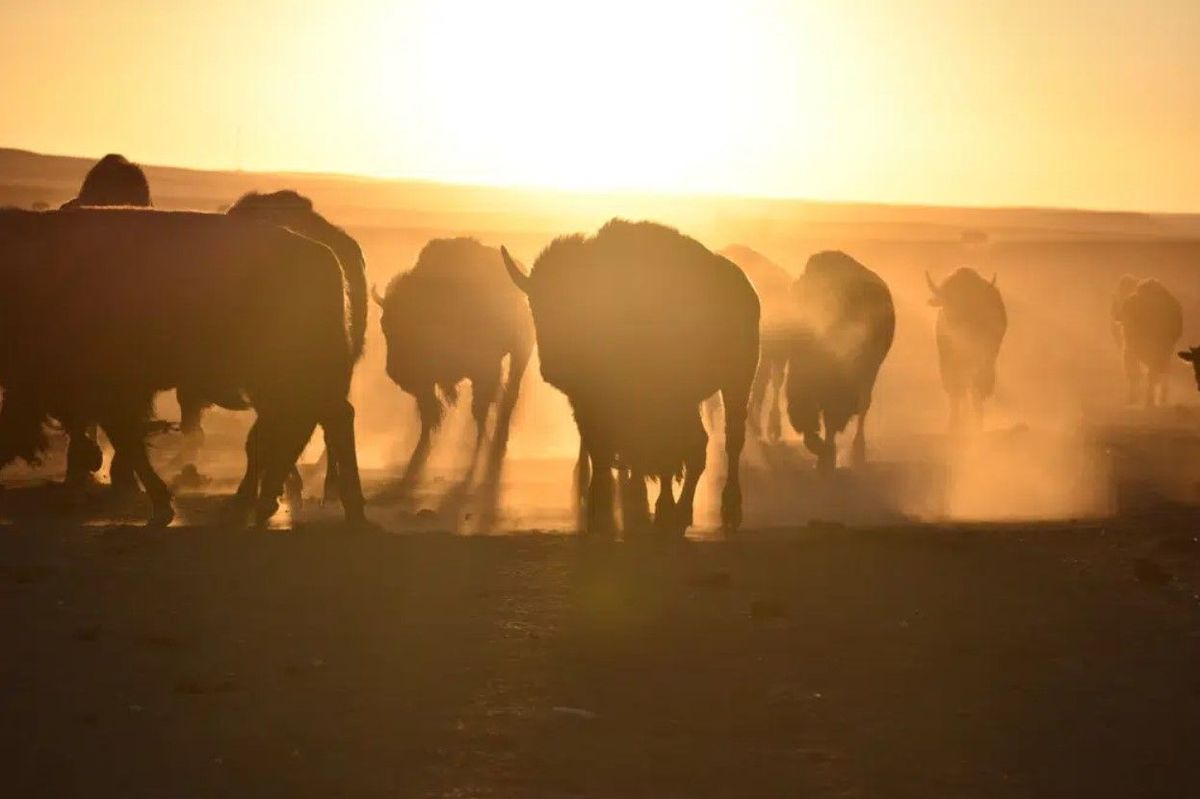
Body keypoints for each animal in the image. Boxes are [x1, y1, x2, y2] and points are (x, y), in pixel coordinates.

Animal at [0, 207, 364, 526]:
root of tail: (326, 256)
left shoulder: (109, 393)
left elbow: (127, 442)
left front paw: (161, 504)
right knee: (309, 425)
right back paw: (269, 503)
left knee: (318, 424)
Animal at [375, 238, 534, 485]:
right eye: (384, 325)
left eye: (412, 325)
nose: (396, 372)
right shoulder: (426, 384)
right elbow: (429, 414)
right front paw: (419, 455)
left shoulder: (483, 370)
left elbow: (478, 409)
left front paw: (479, 451)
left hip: (520, 352)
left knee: (508, 393)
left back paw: (497, 442)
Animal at [501, 219, 760, 535]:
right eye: (535, 306)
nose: (554, 368)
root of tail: (746, 291)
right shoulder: (588, 403)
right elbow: (600, 447)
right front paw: (599, 507)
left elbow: (661, 453)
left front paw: (658, 508)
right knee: (695, 446)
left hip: (736, 382)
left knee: (726, 441)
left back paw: (718, 510)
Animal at [927, 267, 1007, 430]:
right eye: (947, 301)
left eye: (971, 303)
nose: (957, 322)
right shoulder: (948, 362)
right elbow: (955, 392)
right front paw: (954, 425)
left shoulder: (983, 361)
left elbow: (975, 391)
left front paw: (975, 424)